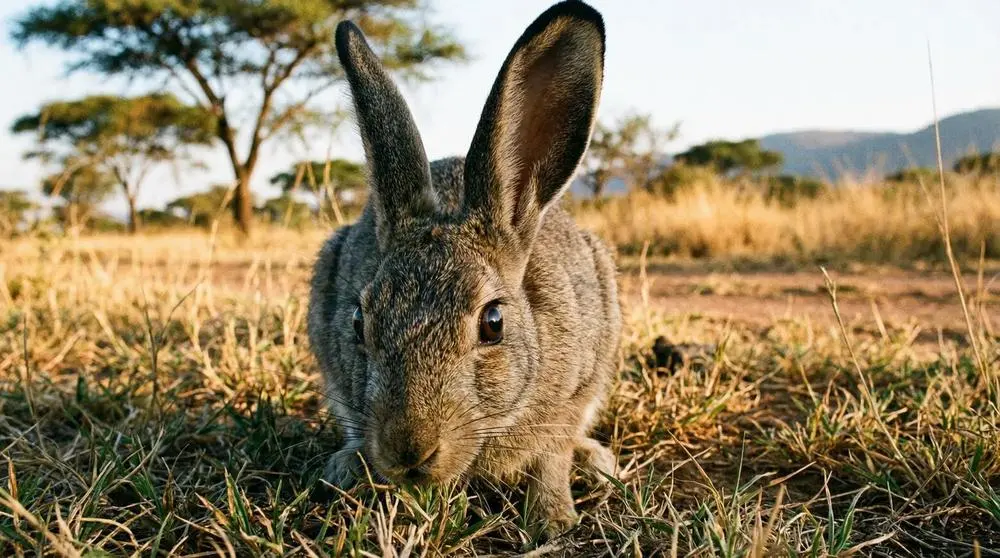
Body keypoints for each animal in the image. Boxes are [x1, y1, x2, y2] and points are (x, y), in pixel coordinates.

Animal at [307, 0, 621, 537]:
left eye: (493, 323)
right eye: (358, 323)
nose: (409, 451)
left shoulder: (572, 395)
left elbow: (552, 457)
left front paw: (552, 518)